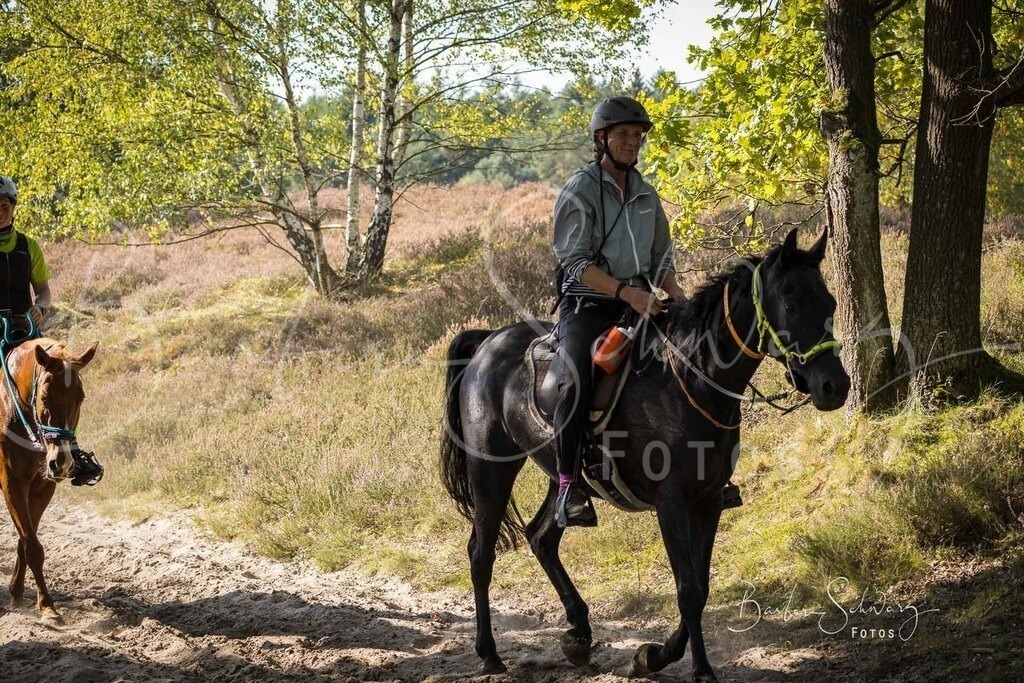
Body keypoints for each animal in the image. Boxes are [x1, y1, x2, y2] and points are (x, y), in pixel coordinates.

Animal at [1, 336, 97, 621]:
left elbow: (26, 540)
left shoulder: (42, 487)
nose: (61, 462)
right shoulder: (12, 484)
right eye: (44, 397)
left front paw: (19, 594)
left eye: (81, 398)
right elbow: (32, 546)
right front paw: (47, 607)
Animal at [439, 228, 850, 681]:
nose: (834, 387)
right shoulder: (671, 503)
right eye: (791, 305)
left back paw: (578, 634)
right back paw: (490, 653)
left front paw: (655, 655)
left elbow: (701, 585)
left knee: (541, 536)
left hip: (562, 476)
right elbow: (688, 589)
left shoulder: (708, 501)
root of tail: (487, 343)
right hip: (491, 470)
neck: (690, 378)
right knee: (481, 553)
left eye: (830, 303)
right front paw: (698, 668)